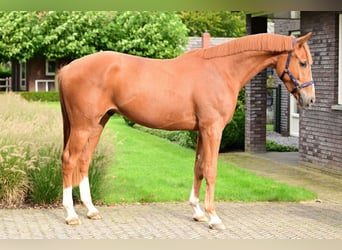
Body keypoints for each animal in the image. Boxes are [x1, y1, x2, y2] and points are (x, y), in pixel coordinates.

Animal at [58, 32, 316, 229]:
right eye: (303, 62)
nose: (310, 99)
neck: (221, 70)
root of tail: (67, 68)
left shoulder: (201, 131)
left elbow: (198, 168)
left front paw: (198, 211)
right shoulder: (213, 129)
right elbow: (210, 170)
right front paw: (213, 217)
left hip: (98, 123)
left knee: (84, 160)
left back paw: (91, 210)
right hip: (83, 126)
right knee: (69, 159)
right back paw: (70, 214)